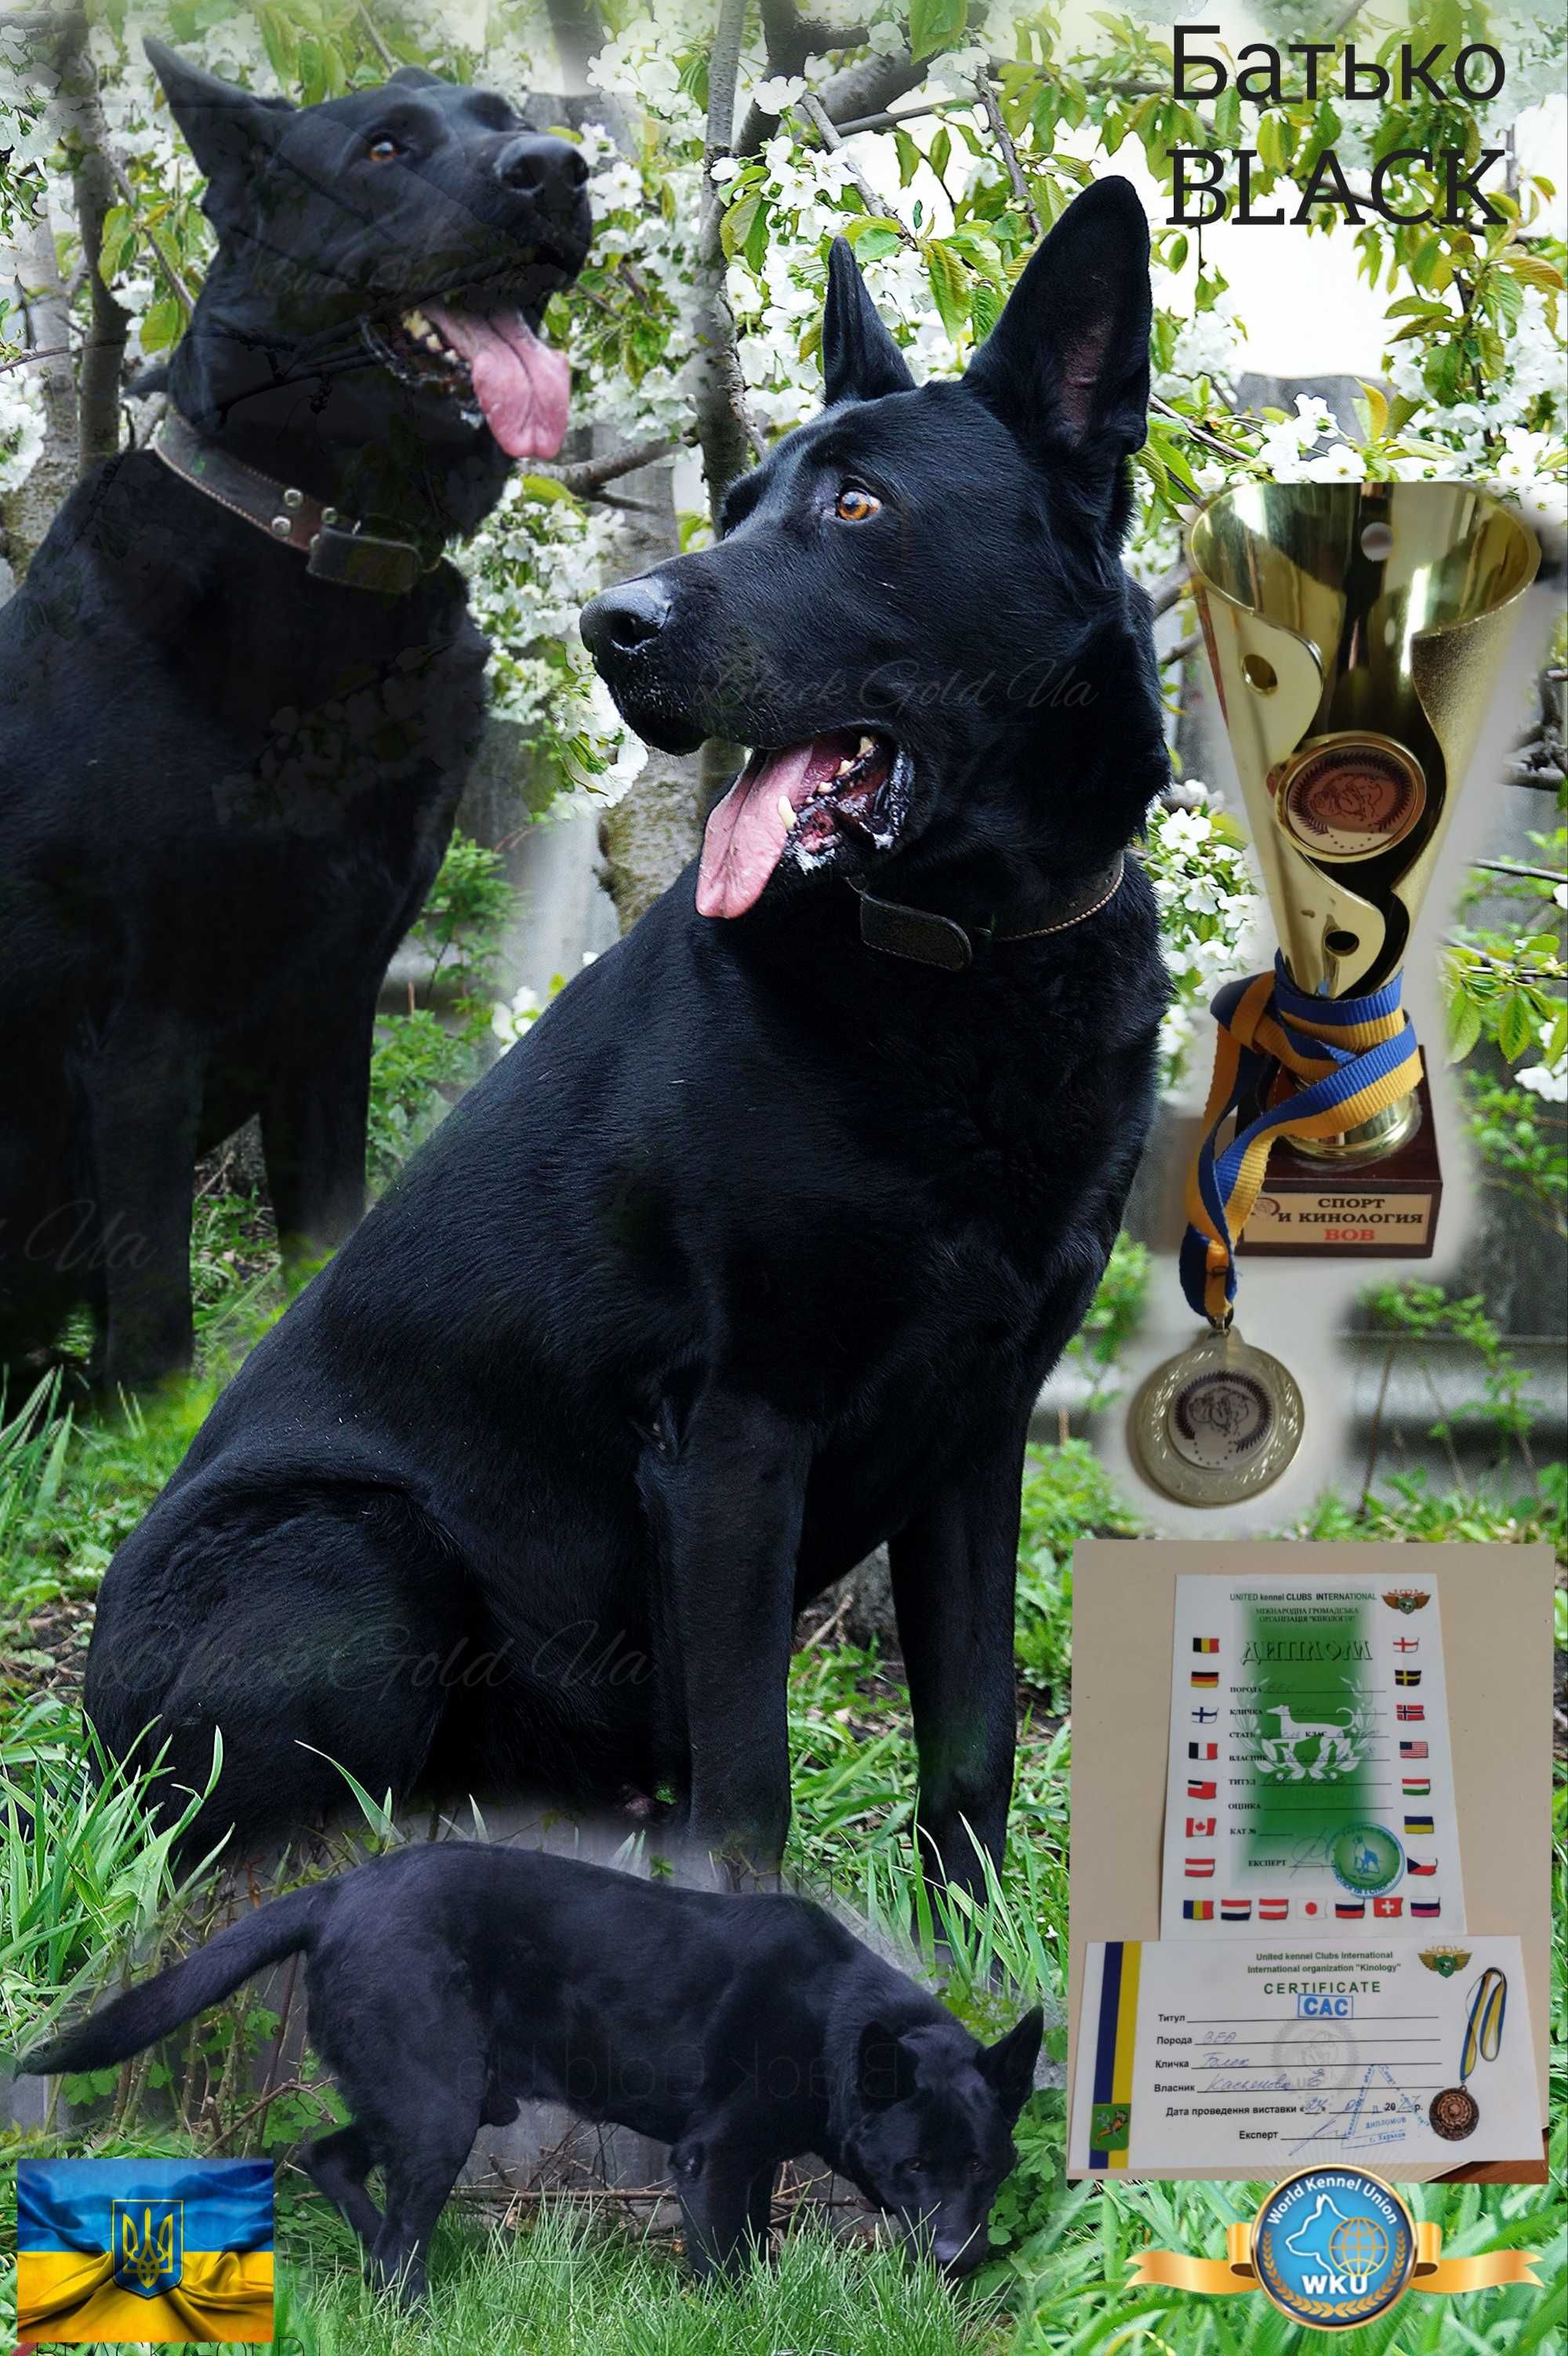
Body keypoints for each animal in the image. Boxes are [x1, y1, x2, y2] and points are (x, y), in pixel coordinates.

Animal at [1, 45, 586, 1394]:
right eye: (385, 149)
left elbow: (326, 1236)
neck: (326, 549)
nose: (558, 169)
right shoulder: (142, 1037)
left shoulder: (336, 1003)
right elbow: (159, 1327)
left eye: (512, 122)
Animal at [21, 1846, 1036, 2289]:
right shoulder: (711, 2157)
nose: (959, 2255)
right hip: (438, 2107)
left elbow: (752, 2244)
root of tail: (340, 1889)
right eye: (913, 2165)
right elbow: (721, 2267)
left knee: (332, 2159)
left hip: (443, 2098)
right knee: (392, 2230)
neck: (835, 2027)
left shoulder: (750, 2164)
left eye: (984, 2167)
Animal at [82, 170, 1158, 1894]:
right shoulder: (731, 1431)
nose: (610, 627)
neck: (961, 955)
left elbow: (974, 1727)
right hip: (363, 1556)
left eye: (857, 509)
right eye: (740, 500)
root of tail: (94, 1707)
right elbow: (751, 1774)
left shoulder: (978, 1434)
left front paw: (973, 1929)